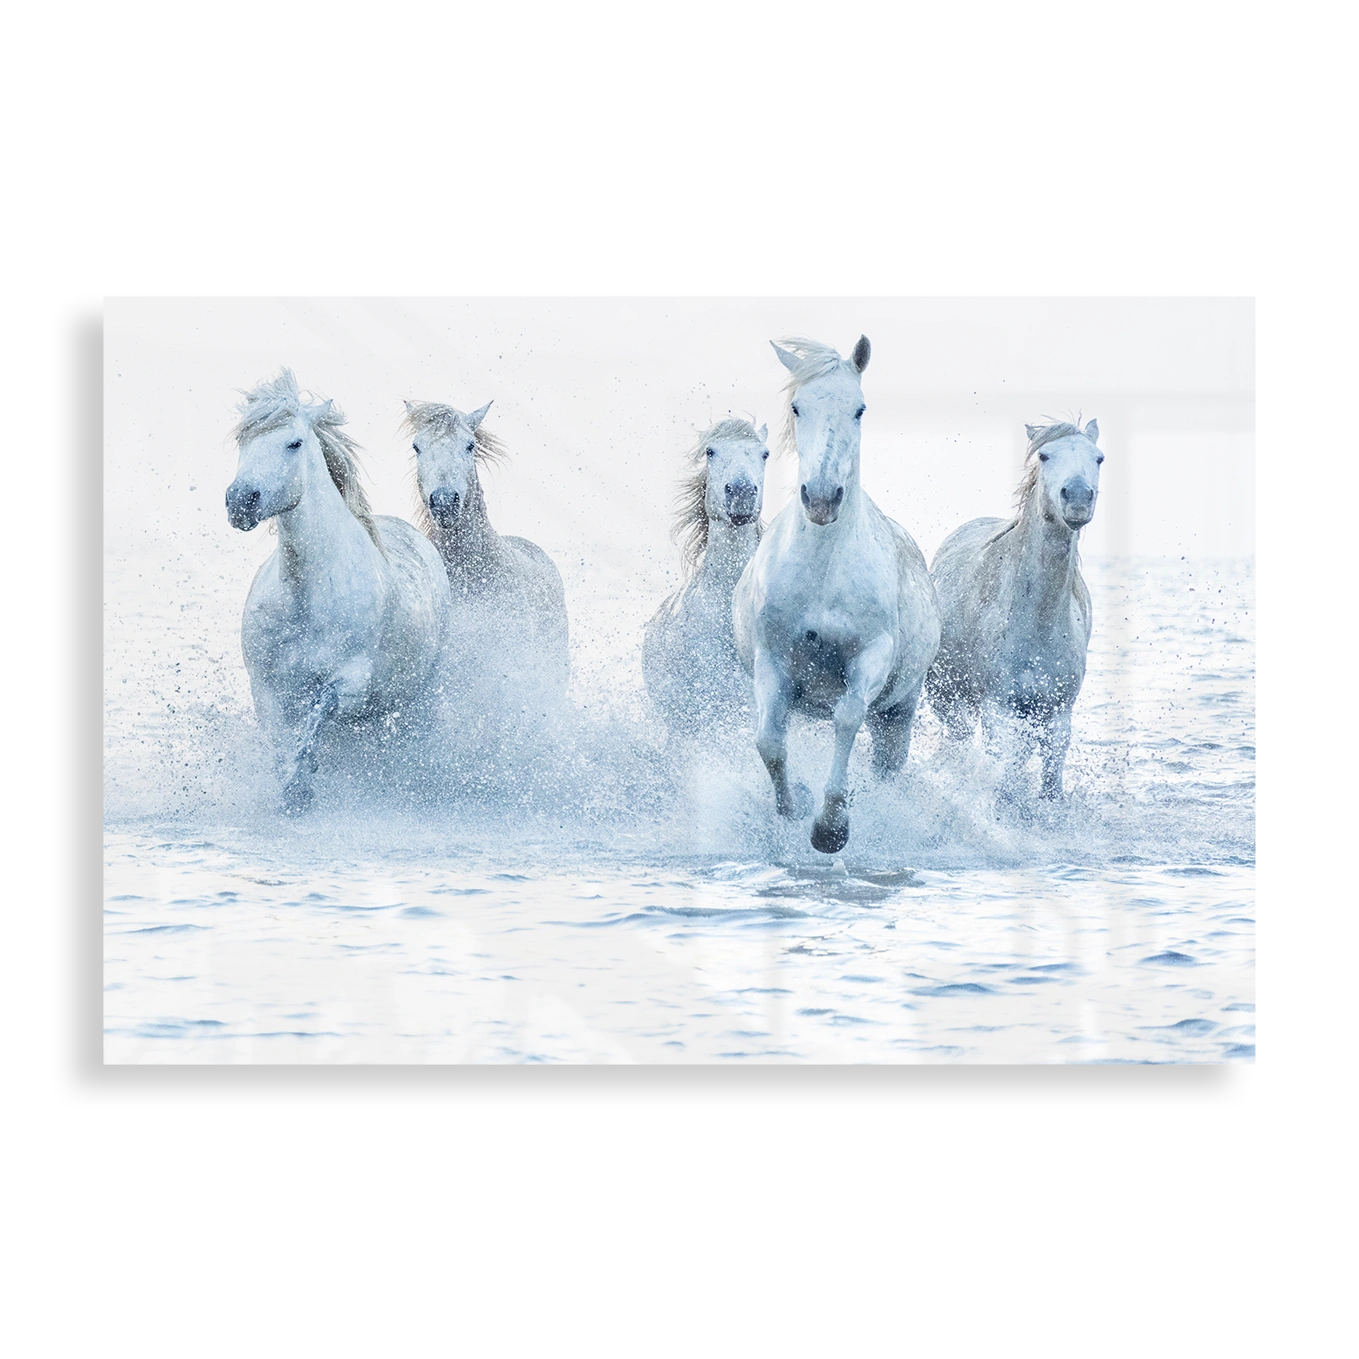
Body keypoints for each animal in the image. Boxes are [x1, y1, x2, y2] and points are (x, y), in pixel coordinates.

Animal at [225, 370, 452, 813]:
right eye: (243, 440)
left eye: (294, 442)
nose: (240, 501)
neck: (306, 597)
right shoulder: (266, 689)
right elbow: (282, 741)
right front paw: (293, 788)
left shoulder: (352, 684)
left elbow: (318, 714)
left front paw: (301, 786)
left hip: (417, 695)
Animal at [733, 337, 941, 854]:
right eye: (797, 407)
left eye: (859, 409)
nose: (823, 498)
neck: (823, 573)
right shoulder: (772, 662)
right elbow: (769, 742)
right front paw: (793, 807)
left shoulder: (871, 656)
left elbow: (847, 717)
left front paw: (831, 827)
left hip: (899, 710)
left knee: (887, 764)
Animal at [925, 418, 1104, 801]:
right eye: (1044, 455)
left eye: (1098, 458)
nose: (1077, 498)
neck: (1037, 621)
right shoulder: (998, 709)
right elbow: (1005, 770)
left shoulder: (1057, 715)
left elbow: (1049, 780)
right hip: (949, 699)